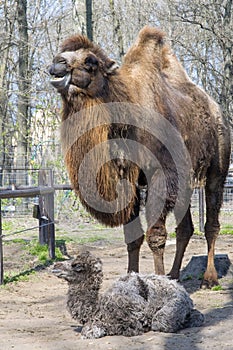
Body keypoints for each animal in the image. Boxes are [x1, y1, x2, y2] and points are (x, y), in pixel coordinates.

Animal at [49, 23, 231, 288]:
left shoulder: (159, 173)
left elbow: (156, 235)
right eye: (62, 53)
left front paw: (157, 282)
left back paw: (209, 278)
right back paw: (174, 275)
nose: (57, 64)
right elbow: (133, 237)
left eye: (91, 61)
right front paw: (132, 279)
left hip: (218, 166)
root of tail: (218, 111)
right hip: (185, 179)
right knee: (186, 228)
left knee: (212, 223)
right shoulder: (128, 180)